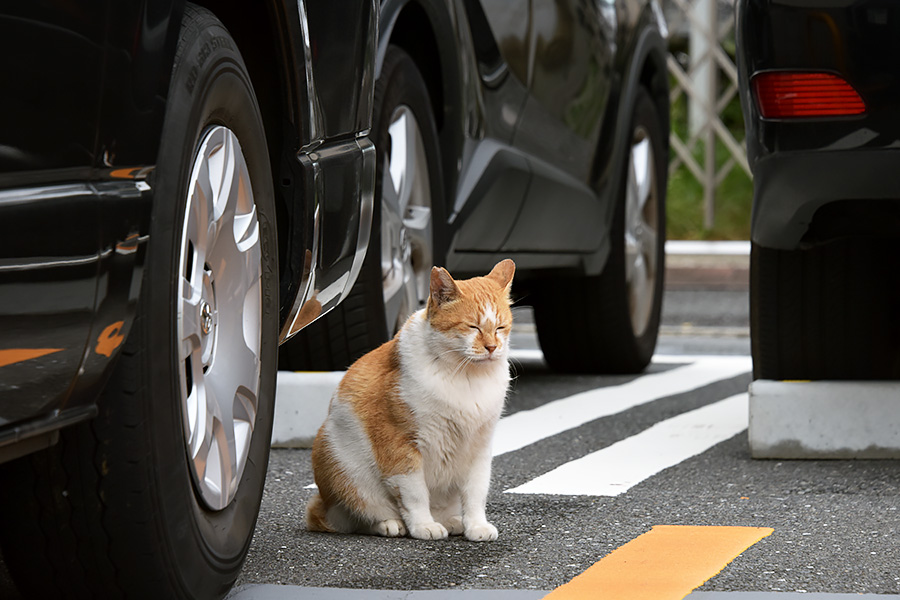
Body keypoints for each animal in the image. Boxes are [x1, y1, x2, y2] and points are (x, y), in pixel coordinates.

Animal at [306, 260, 512, 540]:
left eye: (500, 327)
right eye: (473, 327)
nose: (492, 347)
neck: (468, 376)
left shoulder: (479, 446)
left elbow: (476, 492)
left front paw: (476, 525)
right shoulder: (400, 444)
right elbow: (415, 494)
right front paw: (423, 525)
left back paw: (451, 520)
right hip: (338, 459)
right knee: (355, 516)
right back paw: (390, 524)